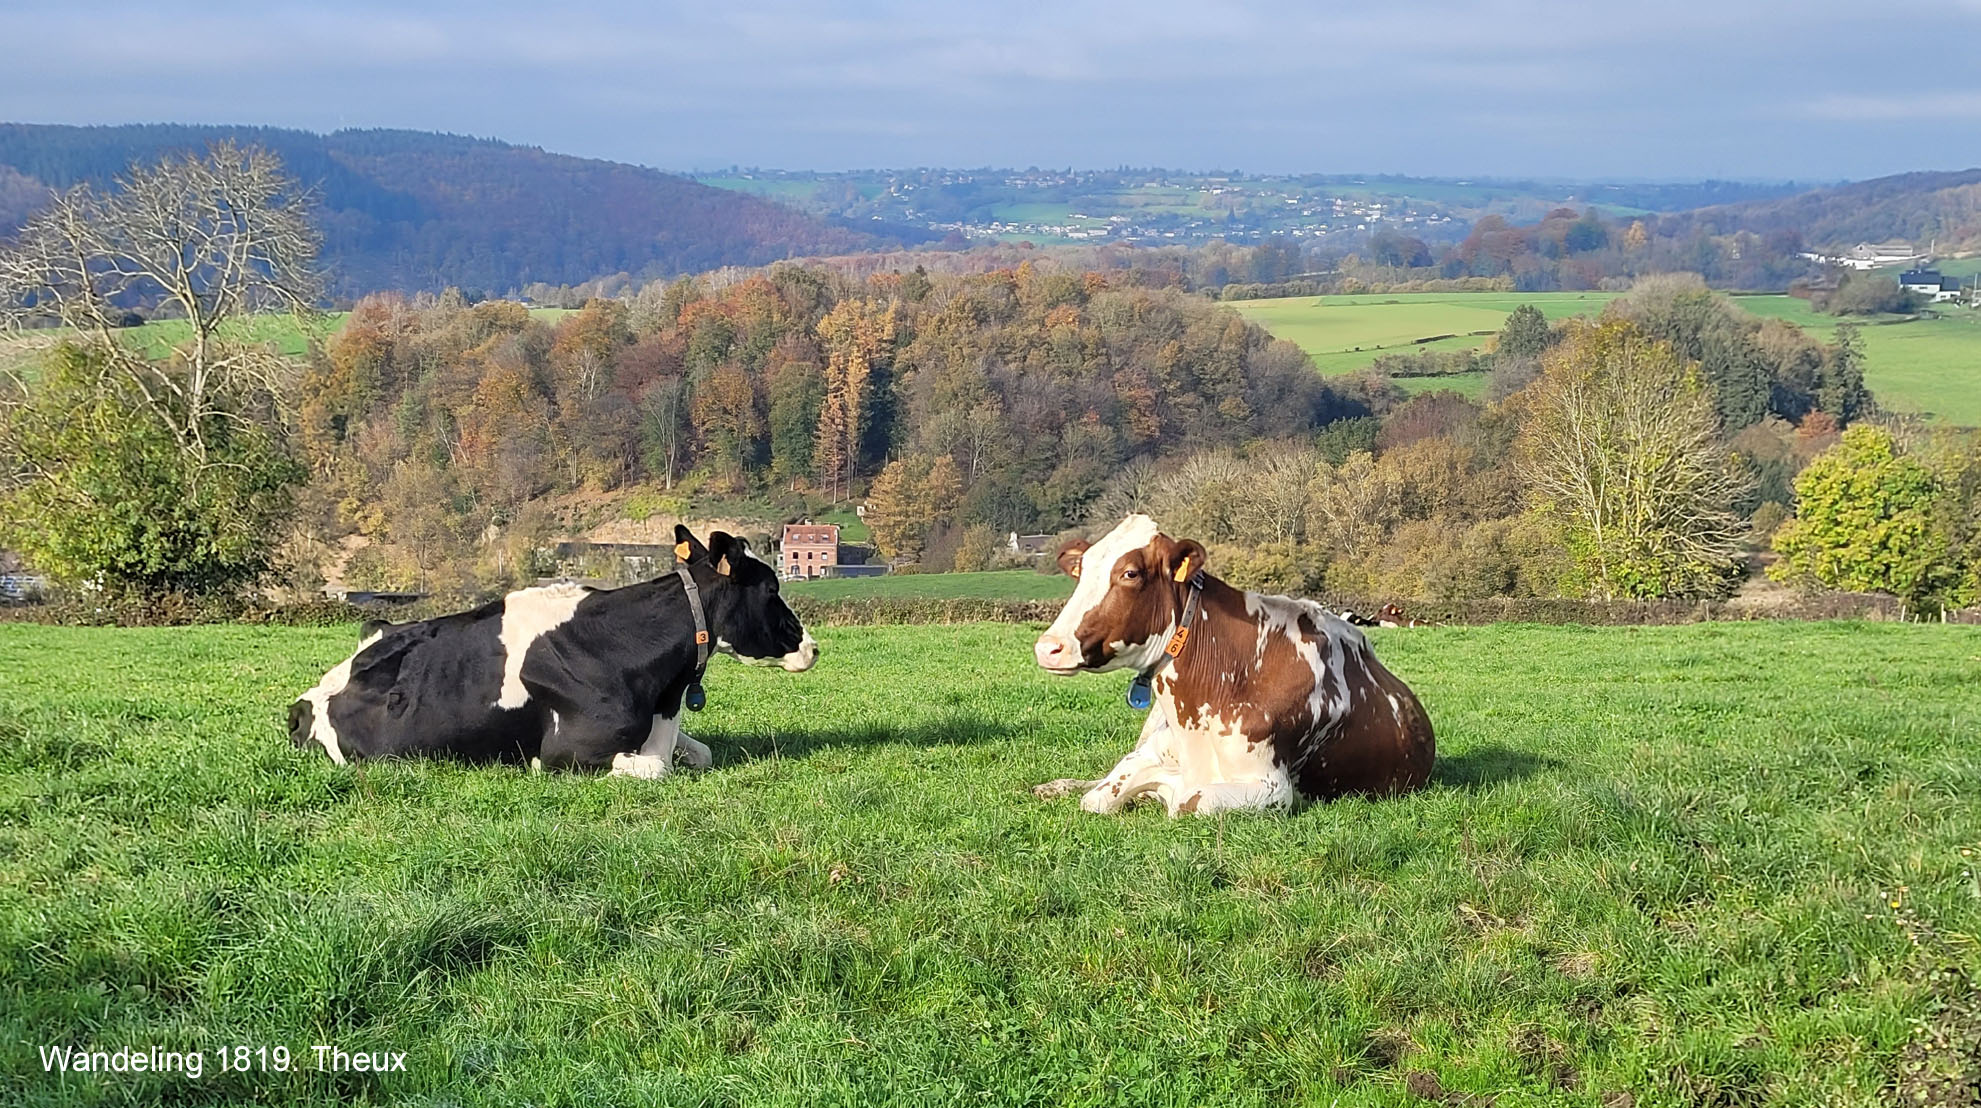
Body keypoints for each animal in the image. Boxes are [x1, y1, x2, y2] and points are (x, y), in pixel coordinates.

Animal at [287, 527, 812, 780]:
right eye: (771, 589)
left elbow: (699, 754)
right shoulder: (569, 749)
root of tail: (301, 703)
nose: (812, 646)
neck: (664, 695)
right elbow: (656, 769)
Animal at [1030, 515, 1434, 820]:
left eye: (1131, 573)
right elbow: (1097, 796)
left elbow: (1185, 802)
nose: (1048, 647)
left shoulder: (1273, 789)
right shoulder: (1149, 753)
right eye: (1081, 571)